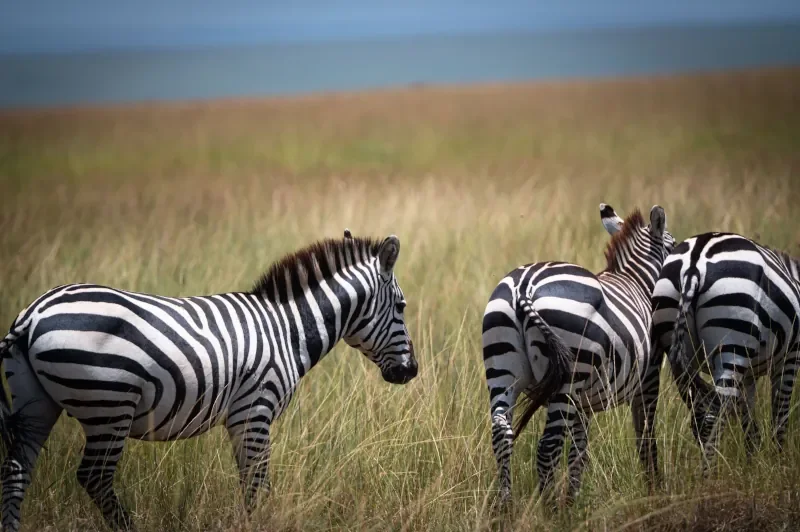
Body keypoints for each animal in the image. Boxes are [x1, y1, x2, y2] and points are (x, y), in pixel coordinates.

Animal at [0, 230, 417, 531]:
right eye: (401, 307)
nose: (411, 371)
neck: (286, 330)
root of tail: (32, 314)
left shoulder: (241, 418)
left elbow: (250, 483)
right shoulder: (255, 410)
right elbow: (256, 485)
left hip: (37, 403)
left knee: (17, 473)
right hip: (109, 406)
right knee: (95, 477)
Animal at [483, 203, 674, 506]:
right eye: (674, 247)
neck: (637, 281)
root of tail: (524, 287)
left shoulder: (583, 403)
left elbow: (579, 451)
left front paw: (573, 500)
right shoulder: (649, 375)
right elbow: (645, 435)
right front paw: (654, 490)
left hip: (502, 368)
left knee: (502, 434)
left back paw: (507, 507)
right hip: (569, 376)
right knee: (547, 446)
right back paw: (550, 510)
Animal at [651, 232, 800, 466]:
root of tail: (693, 265)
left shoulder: (748, 374)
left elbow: (748, 419)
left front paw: (752, 463)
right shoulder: (789, 357)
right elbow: (780, 417)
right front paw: (779, 462)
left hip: (678, 348)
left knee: (700, 413)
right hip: (732, 338)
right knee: (713, 417)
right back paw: (708, 473)